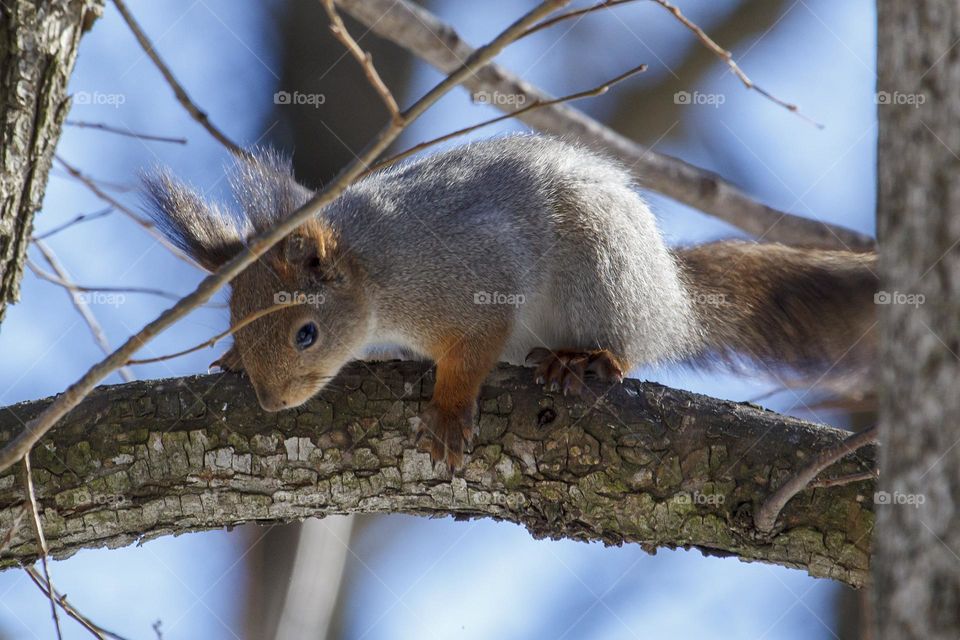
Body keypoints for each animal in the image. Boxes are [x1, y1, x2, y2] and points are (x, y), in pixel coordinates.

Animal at [142, 134, 878, 470]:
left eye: (305, 334)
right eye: (236, 319)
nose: (271, 403)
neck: (376, 274)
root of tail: (670, 298)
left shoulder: (472, 277)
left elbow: (472, 352)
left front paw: (448, 412)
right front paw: (230, 359)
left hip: (604, 271)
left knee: (629, 348)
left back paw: (585, 360)